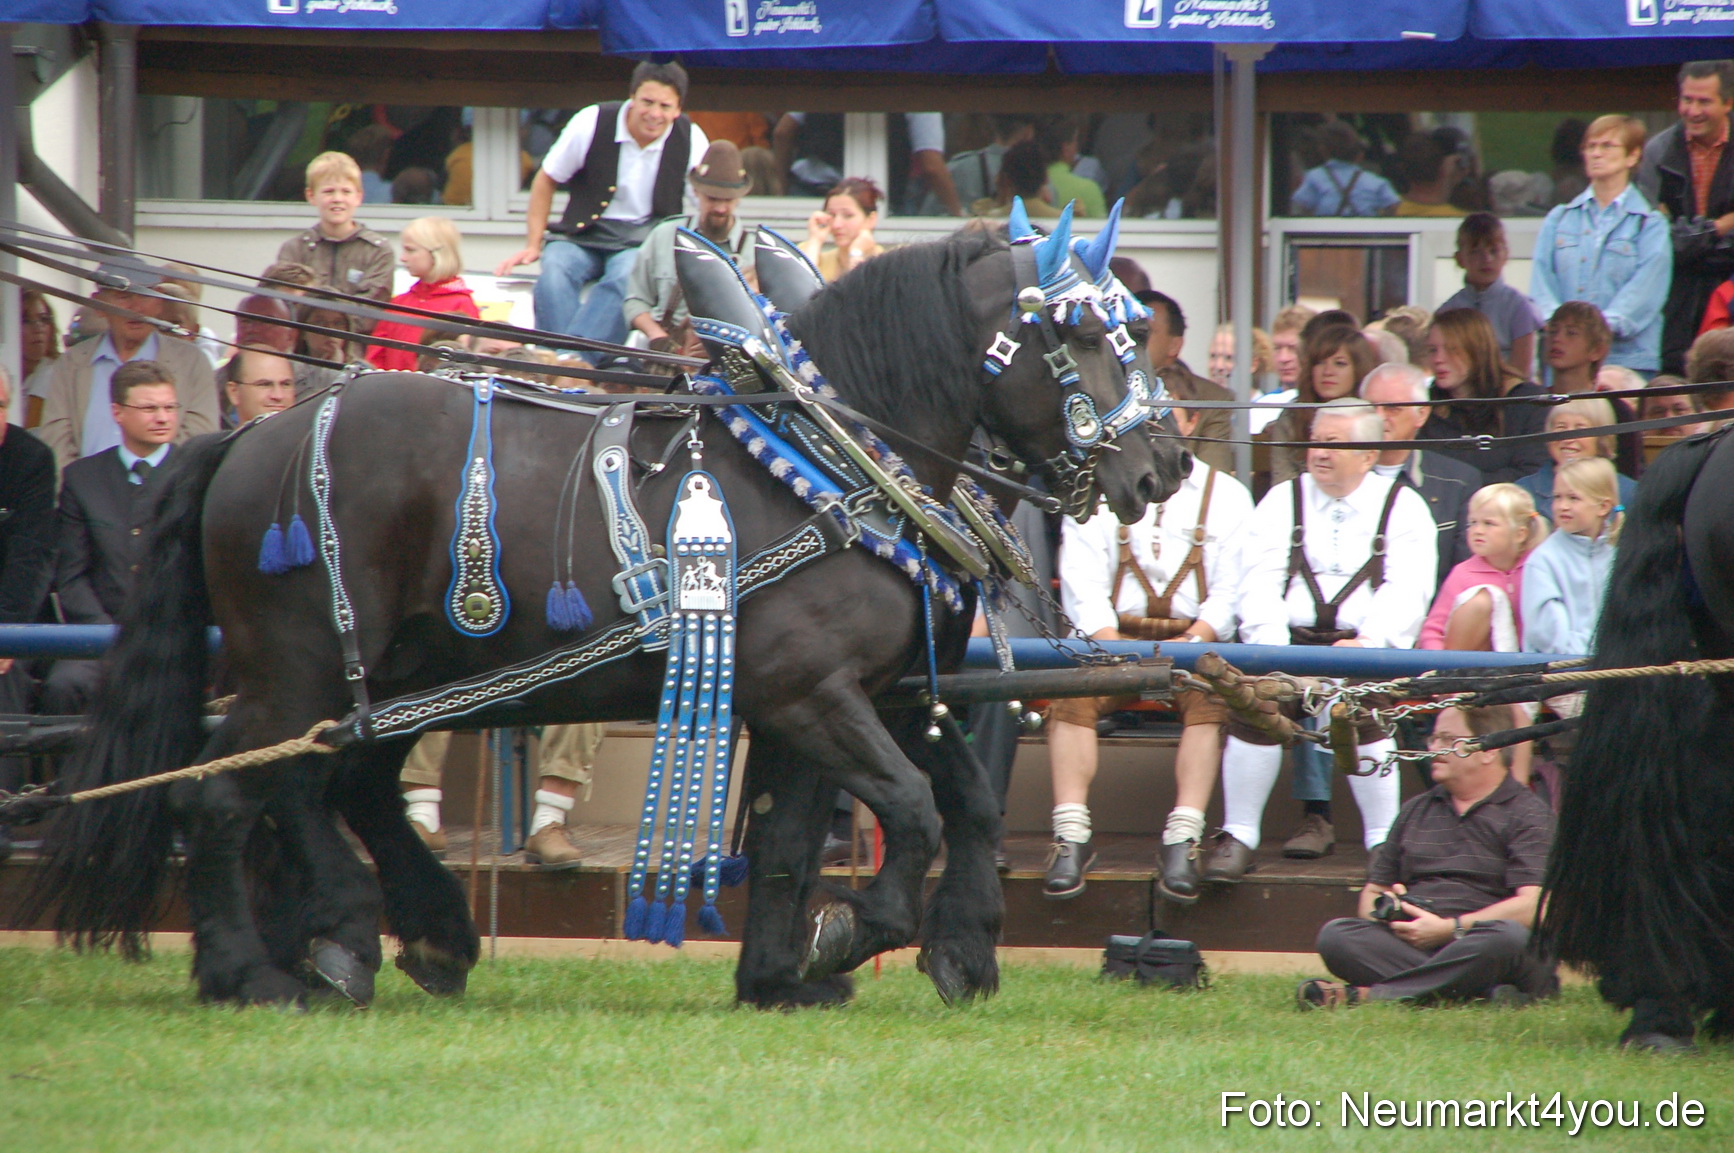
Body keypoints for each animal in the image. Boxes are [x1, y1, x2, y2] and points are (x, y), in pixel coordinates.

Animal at [25, 221, 1188, 1008]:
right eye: (1086, 338)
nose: (1165, 465)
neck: (829, 462)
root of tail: (246, 435)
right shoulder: (814, 695)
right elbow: (906, 808)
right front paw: (851, 936)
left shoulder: (868, 693)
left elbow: (864, 824)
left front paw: (818, 969)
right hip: (297, 662)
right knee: (227, 793)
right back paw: (252, 969)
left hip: (392, 671)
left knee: (333, 781)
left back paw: (388, 934)